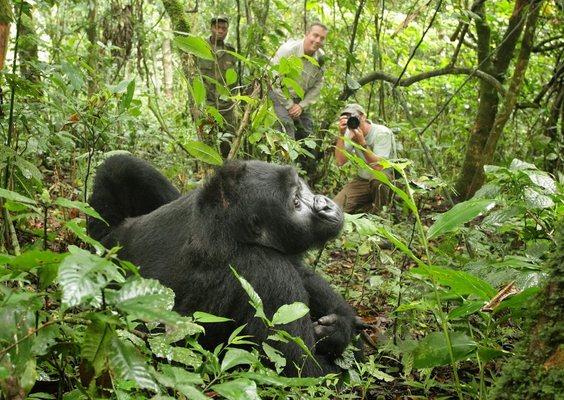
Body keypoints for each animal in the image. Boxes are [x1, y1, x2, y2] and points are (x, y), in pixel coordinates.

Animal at [88, 153, 362, 376]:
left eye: (301, 187)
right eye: (295, 202)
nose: (325, 204)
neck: (229, 226)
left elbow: (303, 272)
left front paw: (340, 327)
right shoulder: (270, 274)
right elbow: (305, 373)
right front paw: (342, 337)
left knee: (120, 165)